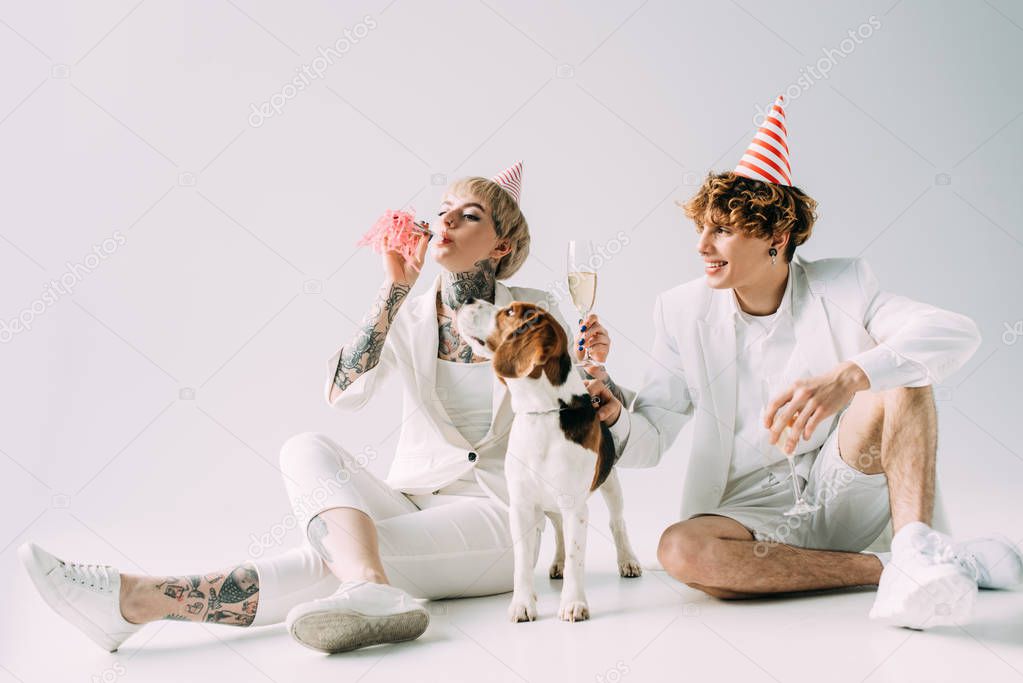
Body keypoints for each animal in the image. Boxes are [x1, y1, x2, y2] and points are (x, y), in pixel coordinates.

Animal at [456, 300, 638, 621]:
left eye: (510, 312)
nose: (466, 300)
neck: (541, 413)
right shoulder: (521, 506)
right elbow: (522, 562)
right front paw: (522, 603)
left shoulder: (575, 506)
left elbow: (578, 557)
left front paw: (574, 603)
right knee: (559, 529)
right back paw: (559, 563)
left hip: (611, 485)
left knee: (617, 522)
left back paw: (627, 559)